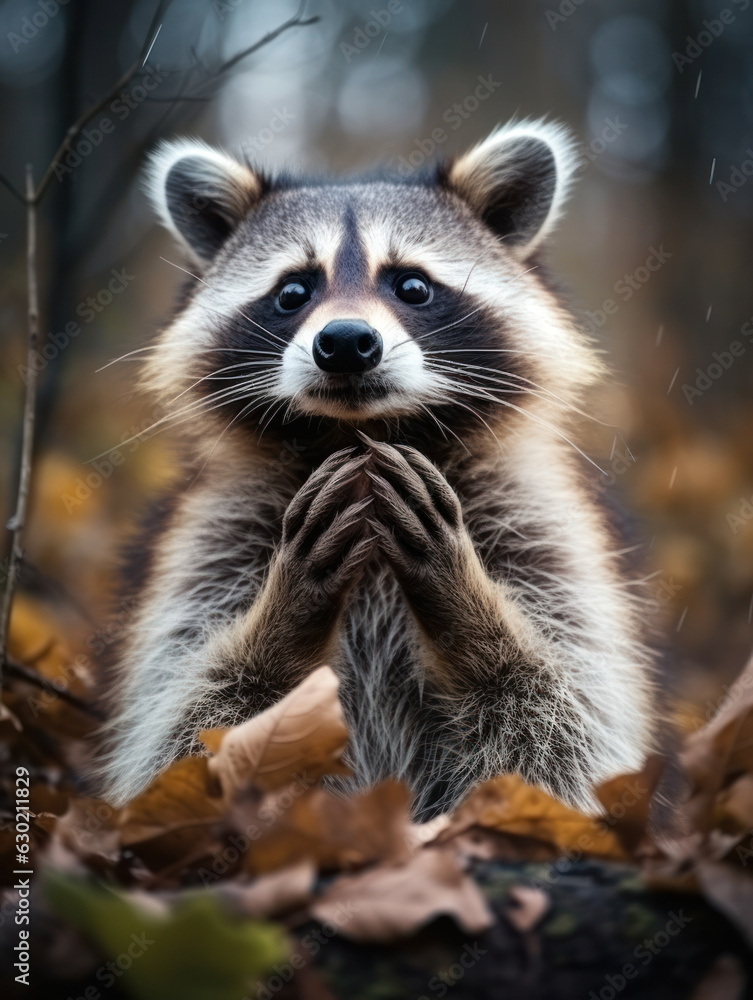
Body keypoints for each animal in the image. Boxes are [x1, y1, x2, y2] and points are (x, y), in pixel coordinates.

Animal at [93, 120, 656, 821]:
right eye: (293, 291)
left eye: (411, 285)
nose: (344, 342)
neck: (360, 441)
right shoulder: (215, 541)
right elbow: (180, 728)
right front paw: (282, 622)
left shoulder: (538, 529)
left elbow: (563, 725)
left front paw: (468, 611)